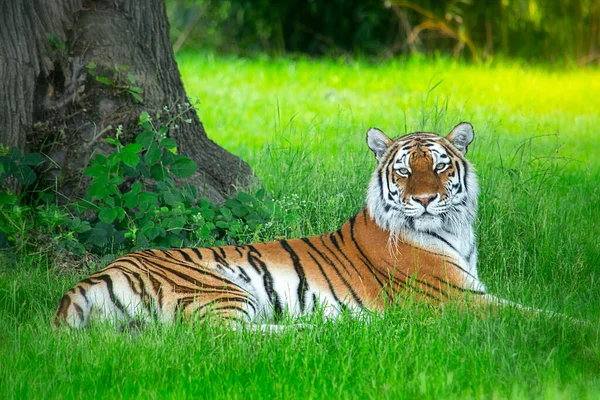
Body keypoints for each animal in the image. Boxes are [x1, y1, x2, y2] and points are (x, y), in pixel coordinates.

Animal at [55, 122, 506, 332]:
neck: (454, 230)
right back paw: (317, 330)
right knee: (222, 338)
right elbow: (521, 314)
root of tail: (97, 275)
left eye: (440, 167)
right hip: (219, 290)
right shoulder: (455, 299)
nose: (425, 199)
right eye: (404, 171)